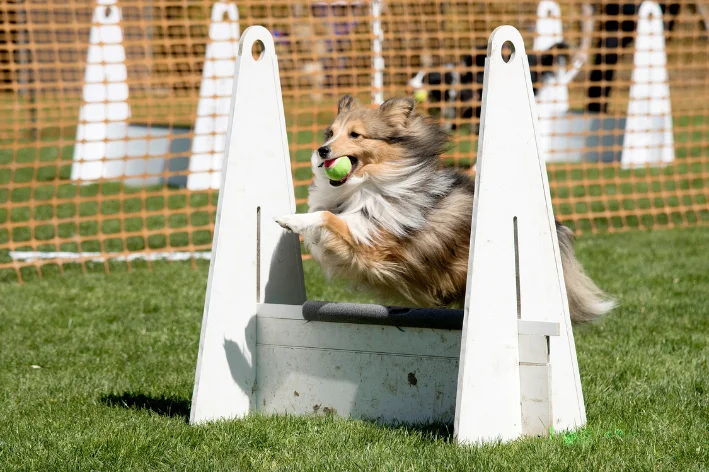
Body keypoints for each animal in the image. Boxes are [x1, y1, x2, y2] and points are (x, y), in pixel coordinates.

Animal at [276, 94, 612, 322]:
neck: (365, 184)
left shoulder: (373, 246)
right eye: (330, 133)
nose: (322, 151)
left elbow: (326, 216)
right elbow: (325, 212)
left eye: (355, 135)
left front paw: (288, 219)